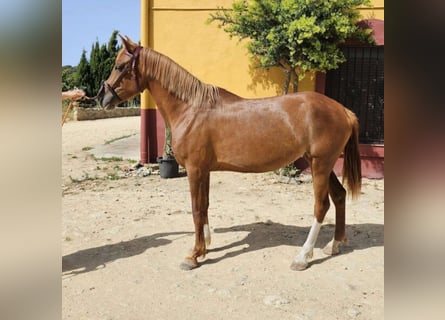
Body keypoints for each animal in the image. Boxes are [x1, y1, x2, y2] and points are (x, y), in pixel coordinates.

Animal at [95, 36, 360, 272]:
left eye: (120, 66)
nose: (102, 98)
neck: (191, 109)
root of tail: (343, 110)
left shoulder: (194, 170)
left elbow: (196, 209)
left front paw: (193, 255)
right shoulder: (204, 170)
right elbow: (204, 206)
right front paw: (205, 246)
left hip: (320, 165)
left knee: (321, 205)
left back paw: (303, 257)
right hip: (322, 165)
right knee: (339, 196)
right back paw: (334, 245)